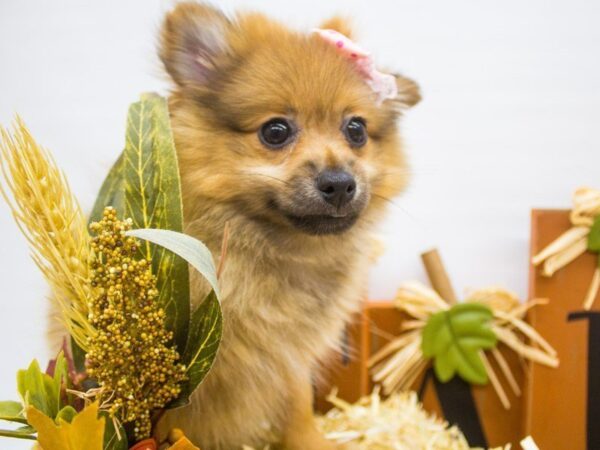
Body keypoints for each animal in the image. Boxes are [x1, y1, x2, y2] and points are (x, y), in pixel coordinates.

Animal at [155, 1, 420, 448]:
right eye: (275, 131)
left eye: (356, 129)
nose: (339, 183)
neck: (279, 254)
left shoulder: (288, 359)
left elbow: (297, 409)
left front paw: (311, 440)